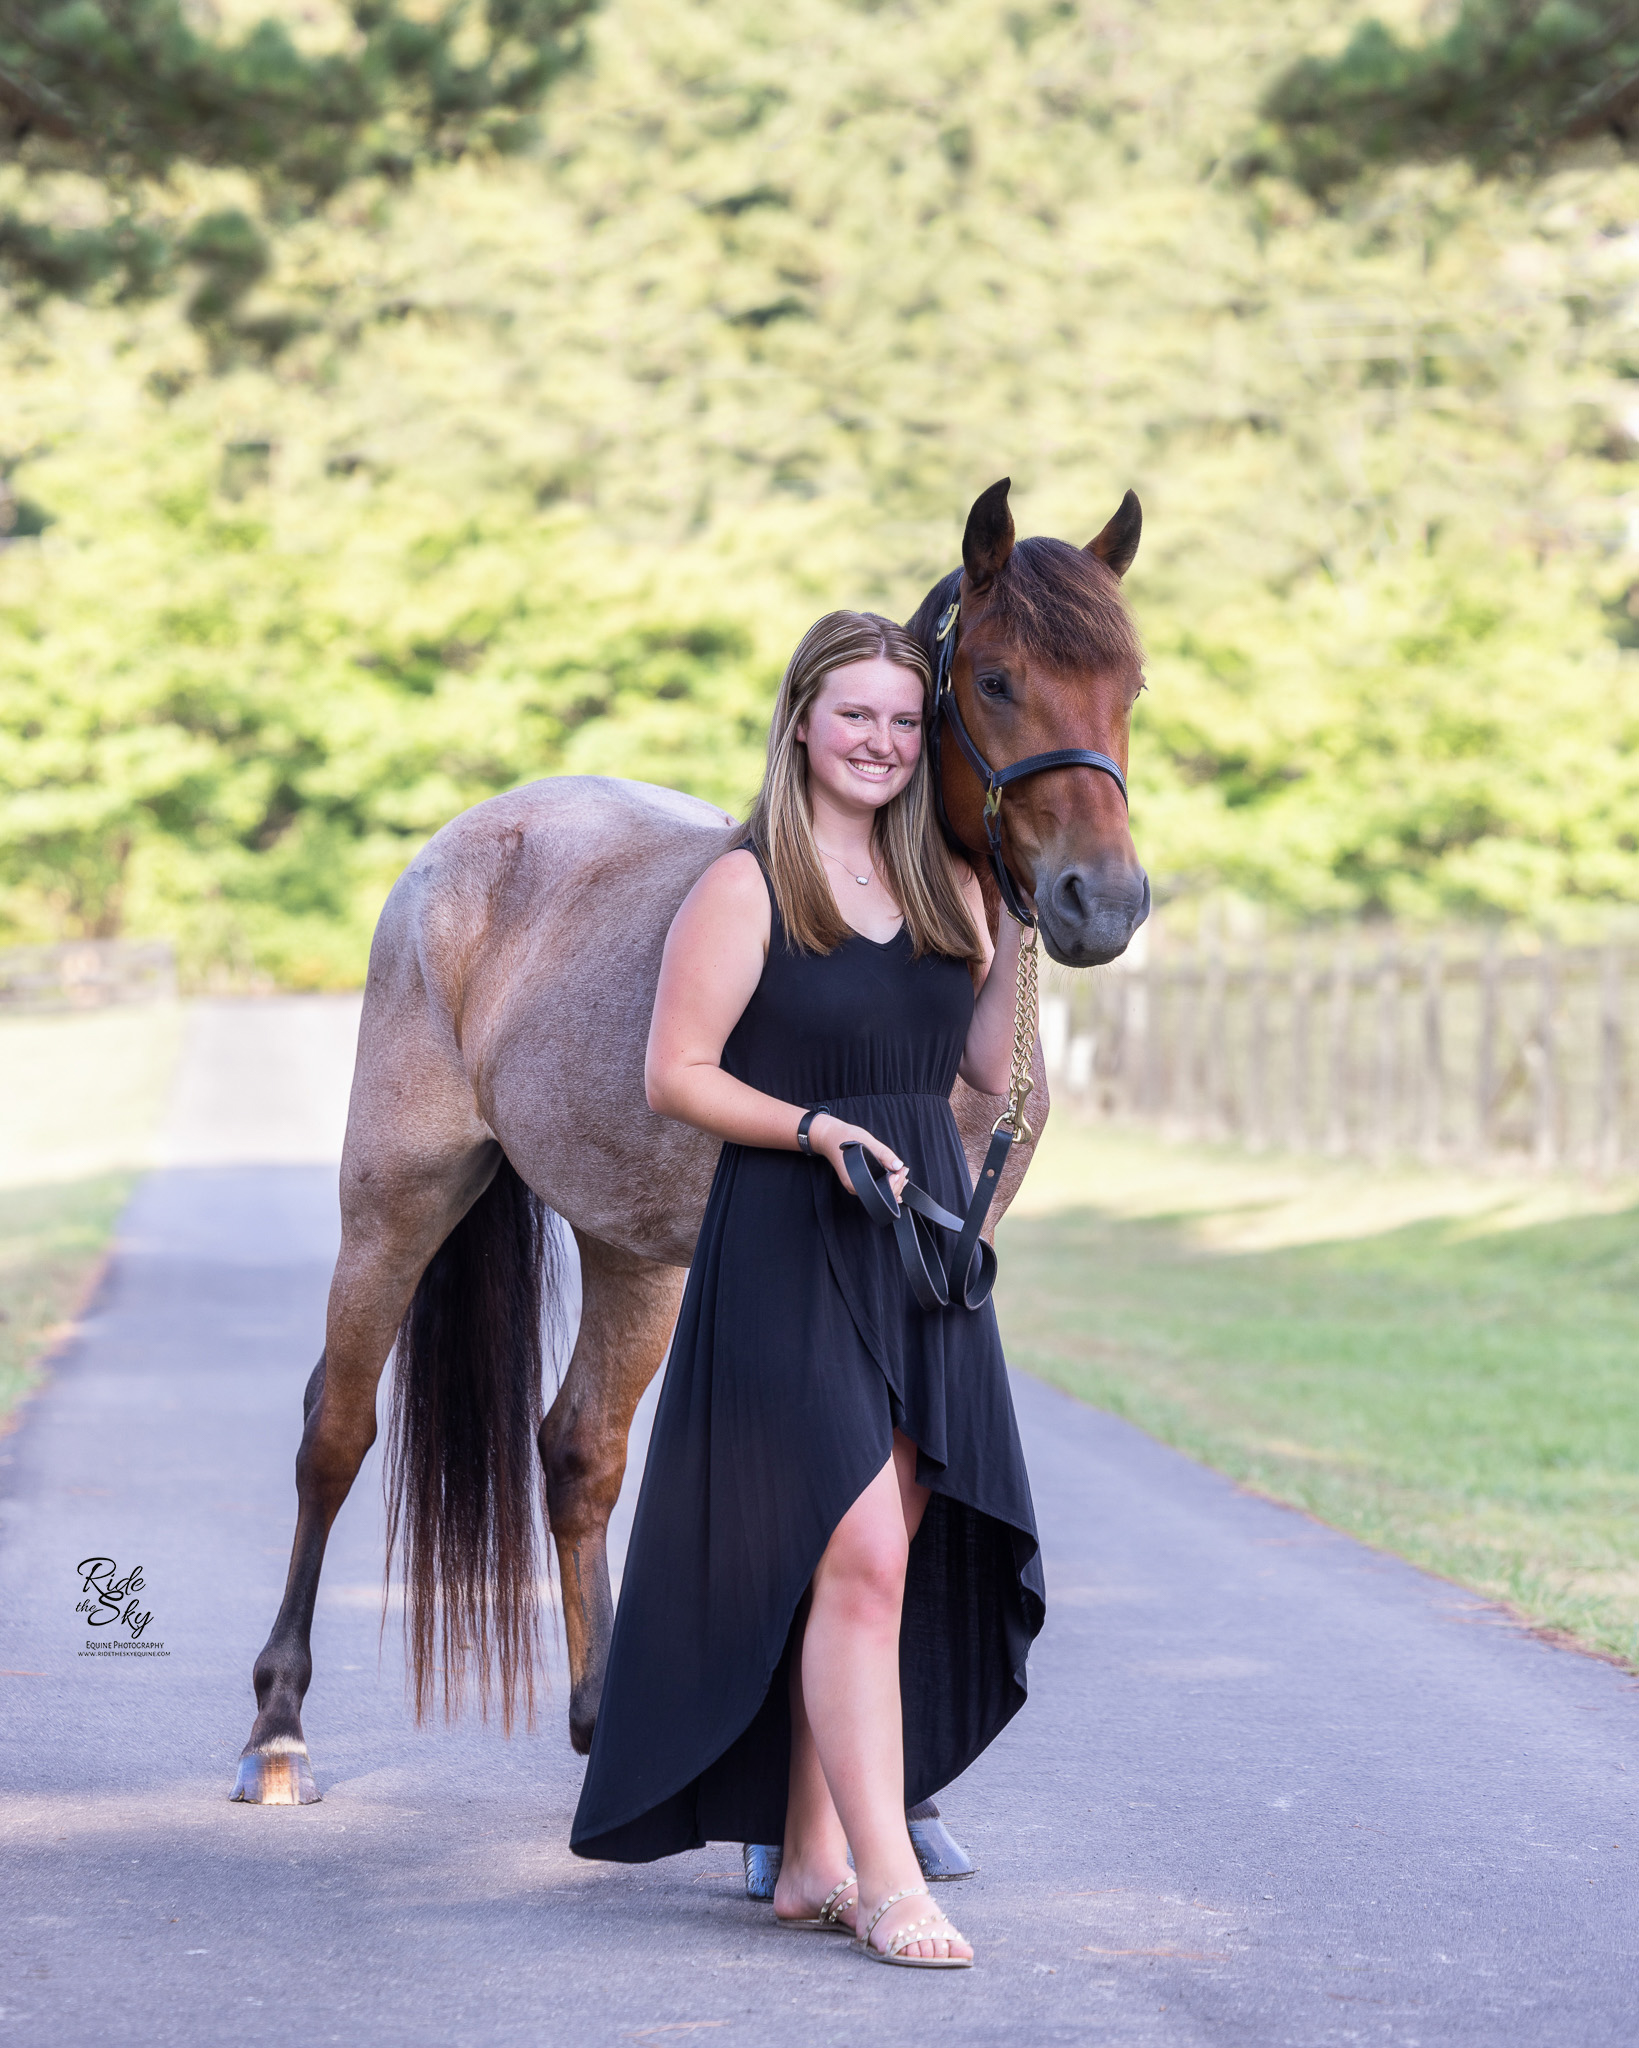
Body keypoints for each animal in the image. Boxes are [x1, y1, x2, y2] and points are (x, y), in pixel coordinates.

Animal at [233, 479, 1155, 1810]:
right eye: (994, 678)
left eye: (1130, 683)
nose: (1104, 901)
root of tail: (464, 844)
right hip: (397, 1198)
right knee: (335, 1433)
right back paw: (279, 1727)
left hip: (632, 1252)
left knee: (577, 1450)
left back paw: (598, 1717)